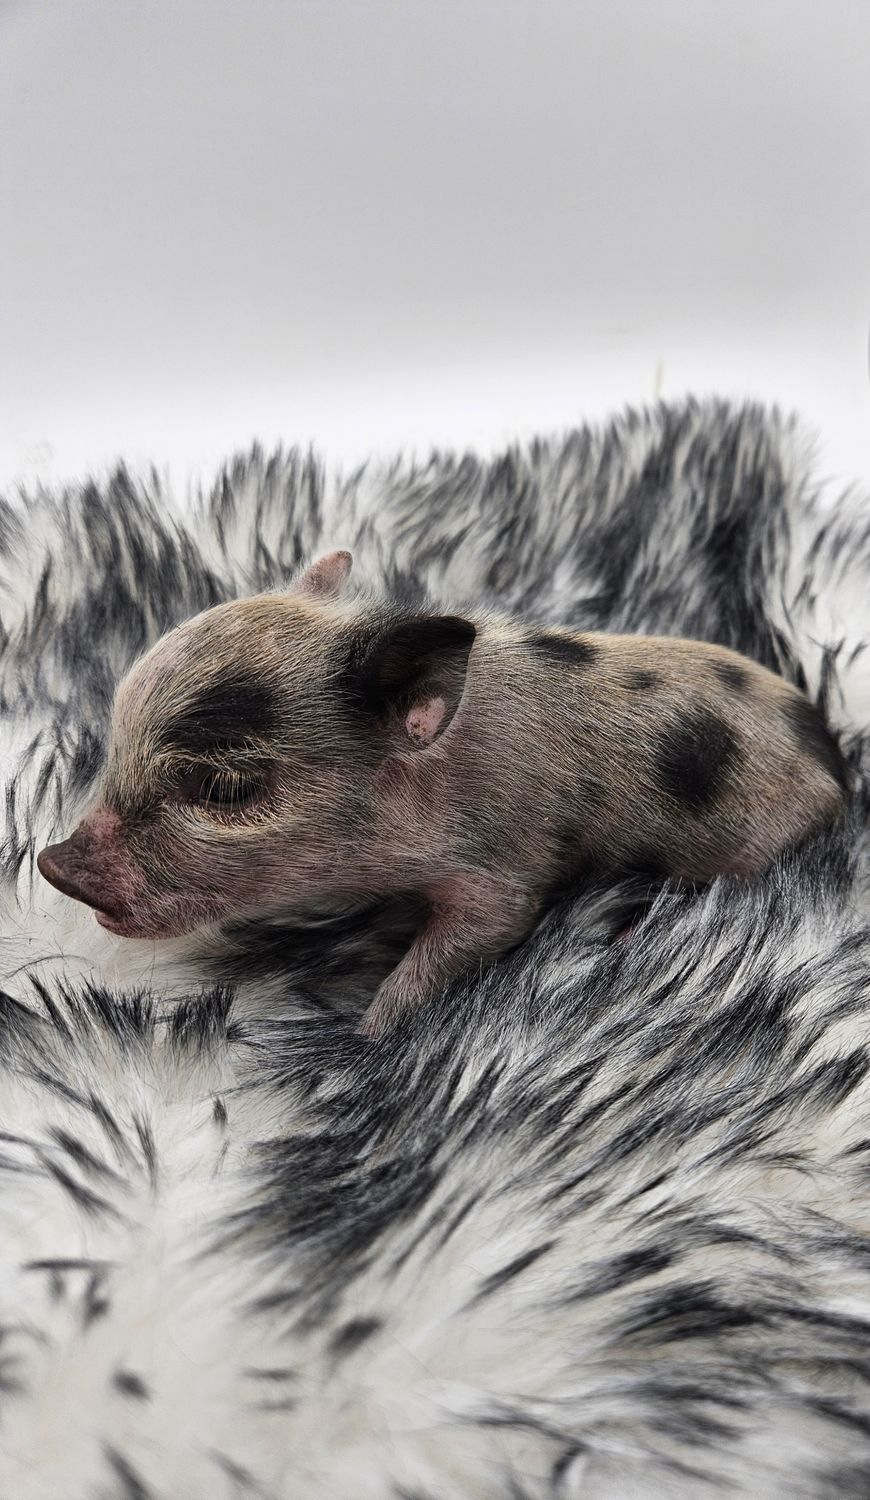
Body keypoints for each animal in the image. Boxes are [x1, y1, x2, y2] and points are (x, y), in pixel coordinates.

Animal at [37, 550, 849, 1036]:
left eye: (225, 786)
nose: (53, 864)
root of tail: (833, 761)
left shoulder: (505, 871)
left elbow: (470, 938)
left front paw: (363, 1037)